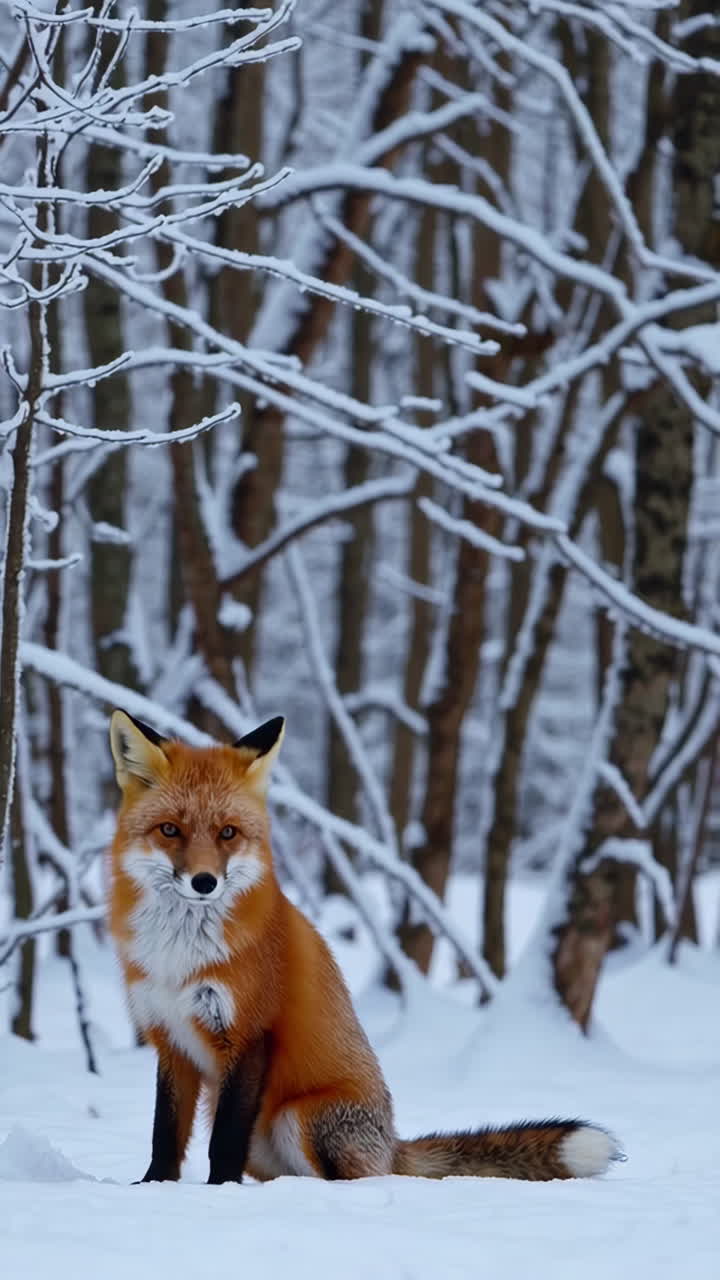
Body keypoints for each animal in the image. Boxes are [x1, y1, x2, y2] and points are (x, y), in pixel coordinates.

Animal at [108, 709, 624, 1186]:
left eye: (228, 833)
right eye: (170, 830)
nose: (204, 882)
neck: (179, 956)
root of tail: (392, 1144)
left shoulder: (250, 1033)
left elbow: (223, 1142)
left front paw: (218, 1193)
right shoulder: (169, 1037)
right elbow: (165, 1132)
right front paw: (153, 1186)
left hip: (298, 1117)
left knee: (354, 1178)